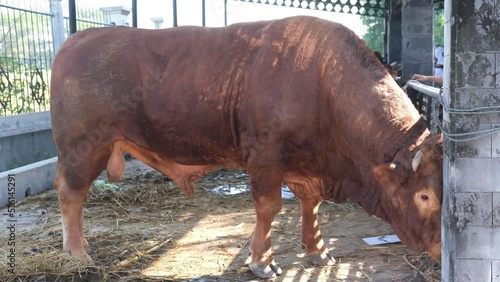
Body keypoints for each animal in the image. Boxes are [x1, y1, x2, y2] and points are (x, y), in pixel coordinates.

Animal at [49, 16, 442, 278]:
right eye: (424, 196)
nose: (441, 245)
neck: (324, 81)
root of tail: (76, 40)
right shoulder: (266, 157)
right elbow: (268, 208)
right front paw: (263, 262)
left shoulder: (308, 166)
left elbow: (310, 206)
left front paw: (317, 251)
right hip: (84, 148)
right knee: (71, 193)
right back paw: (77, 253)